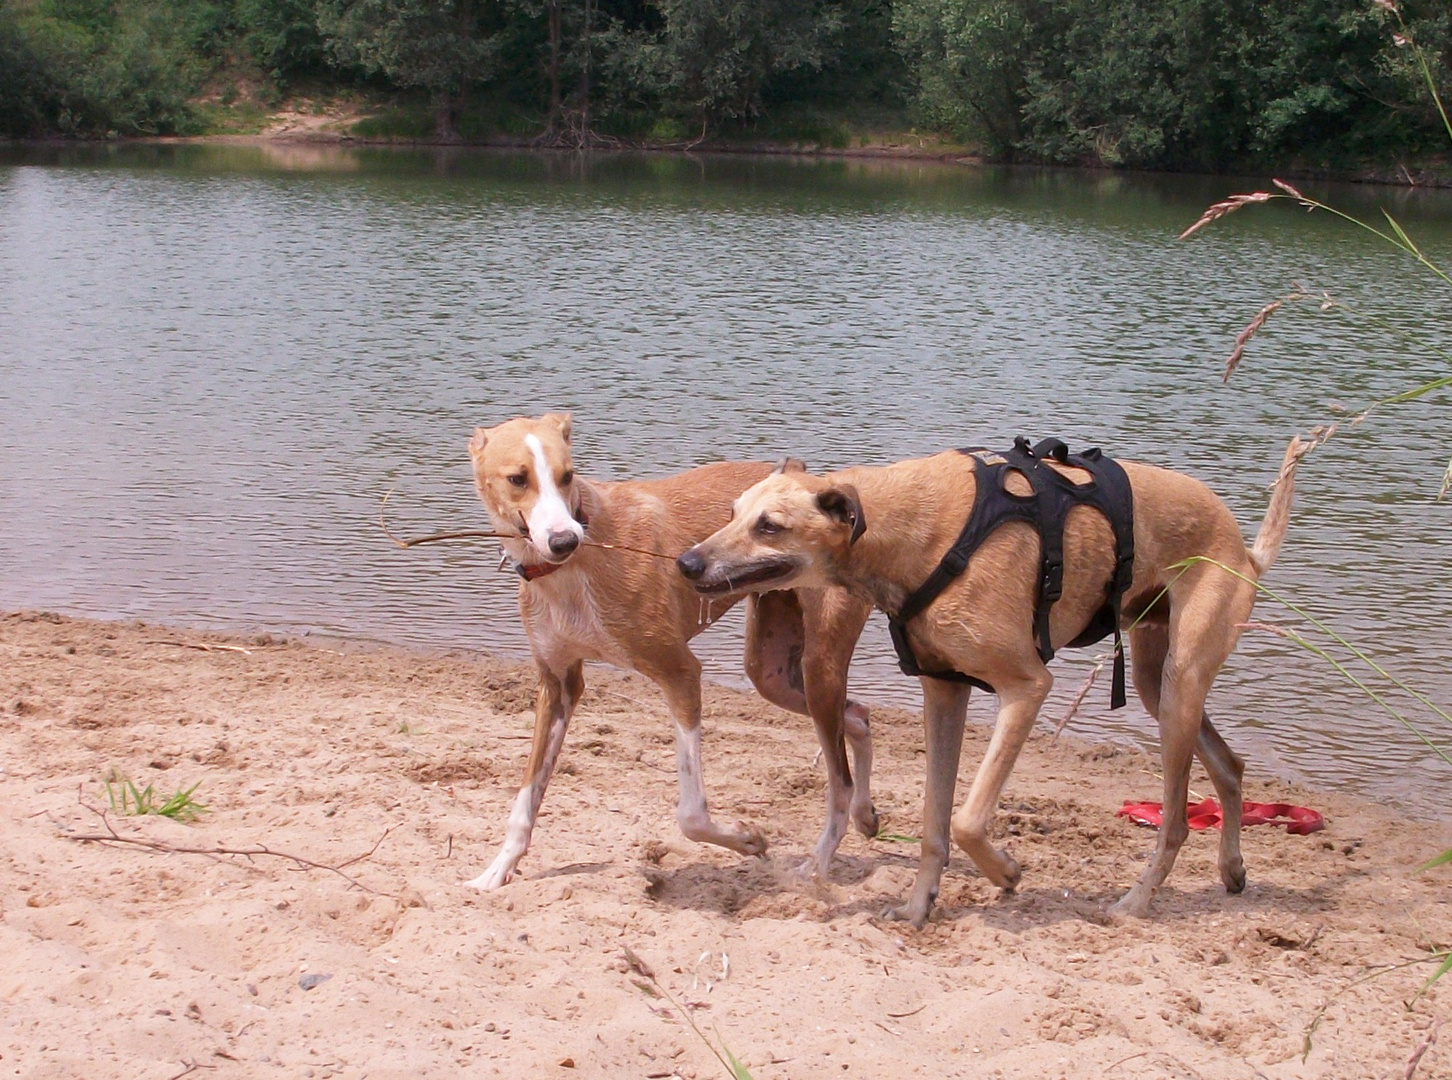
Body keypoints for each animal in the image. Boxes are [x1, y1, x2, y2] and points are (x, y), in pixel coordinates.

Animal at [464, 409, 871, 888]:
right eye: (517, 478)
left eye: (568, 475)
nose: (564, 540)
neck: (574, 568)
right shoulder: (558, 682)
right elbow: (526, 797)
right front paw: (496, 871)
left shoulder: (680, 673)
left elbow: (691, 815)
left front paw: (746, 838)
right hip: (772, 674)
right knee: (859, 716)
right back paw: (867, 815)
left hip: (818, 666)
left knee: (841, 777)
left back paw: (820, 864)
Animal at [679, 435, 1306, 923]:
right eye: (731, 513)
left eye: (770, 526)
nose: (686, 563)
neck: (911, 528)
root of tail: (1245, 551)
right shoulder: (944, 690)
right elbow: (935, 823)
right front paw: (918, 908)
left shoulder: (1026, 688)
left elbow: (966, 819)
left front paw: (1005, 871)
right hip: (1161, 686)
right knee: (1229, 765)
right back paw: (1231, 868)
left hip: (1180, 683)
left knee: (1175, 821)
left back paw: (1134, 903)